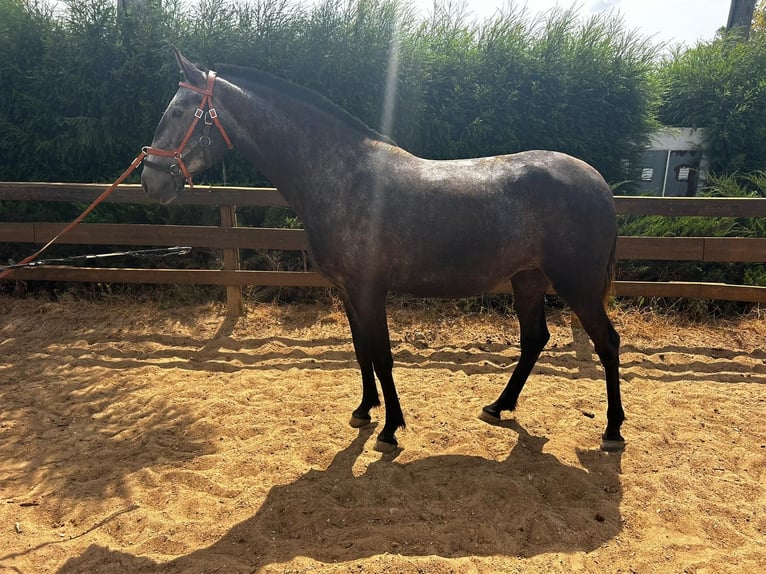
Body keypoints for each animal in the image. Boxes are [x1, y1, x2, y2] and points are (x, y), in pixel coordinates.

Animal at [141, 49, 628, 454]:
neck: (341, 175)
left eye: (178, 111)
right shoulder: (348, 292)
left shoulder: (370, 290)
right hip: (527, 279)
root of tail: (598, 182)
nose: (151, 181)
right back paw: (498, 406)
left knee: (607, 342)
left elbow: (382, 354)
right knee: (534, 340)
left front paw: (391, 428)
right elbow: (361, 352)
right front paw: (364, 411)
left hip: (578, 286)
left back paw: (612, 430)